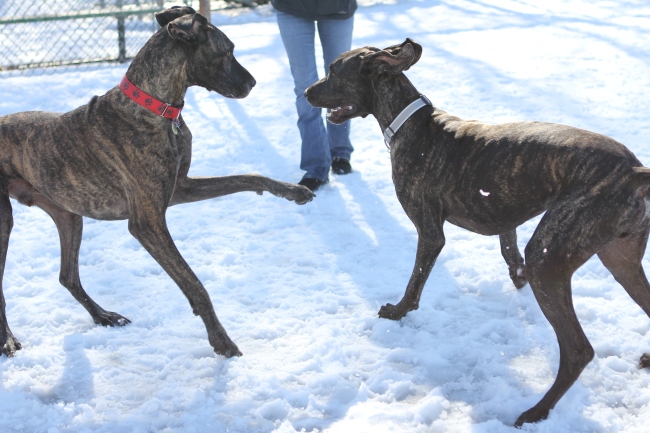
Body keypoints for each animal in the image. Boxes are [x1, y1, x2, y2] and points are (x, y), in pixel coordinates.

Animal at [0, 6, 313, 360]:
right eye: (227, 51)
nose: (253, 82)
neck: (155, 107)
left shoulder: (181, 188)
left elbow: (247, 177)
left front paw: (292, 191)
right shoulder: (147, 223)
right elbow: (194, 284)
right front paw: (222, 342)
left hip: (67, 214)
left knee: (68, 276)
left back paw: (104, 316)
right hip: (4, 221)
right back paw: (8, 339)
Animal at [304, 39, 650, 426]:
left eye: (333, 70)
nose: (304, 92)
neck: (409, 119)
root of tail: (635, 172)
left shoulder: (430, 232)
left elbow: (415, 280)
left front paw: (399, 311)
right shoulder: (505, 220)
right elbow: (509, 251)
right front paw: (516, 281)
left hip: (548, 258)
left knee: (578, 350)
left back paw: (535, 412)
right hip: (621, 262)